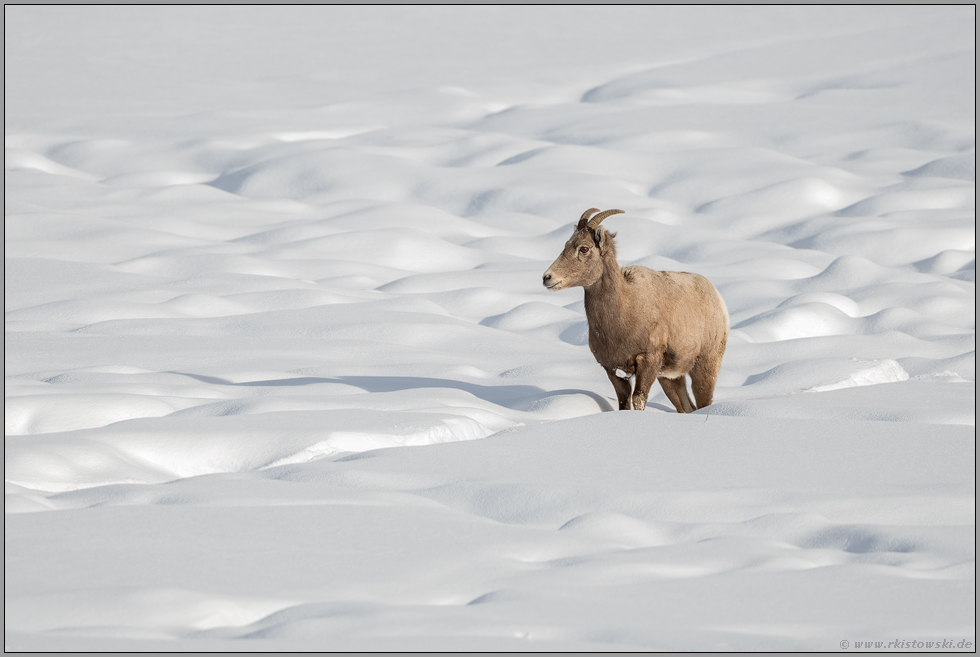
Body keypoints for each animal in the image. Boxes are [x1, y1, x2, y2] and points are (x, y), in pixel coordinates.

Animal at [544, 206, 728, 410]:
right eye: (566, 244)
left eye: (584, 248)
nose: (547, 278)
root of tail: (717, 298)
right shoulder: (612, 370)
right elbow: (624, 402)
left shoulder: (648, 361)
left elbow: (639, 399)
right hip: (670, 379)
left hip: (704, 367)